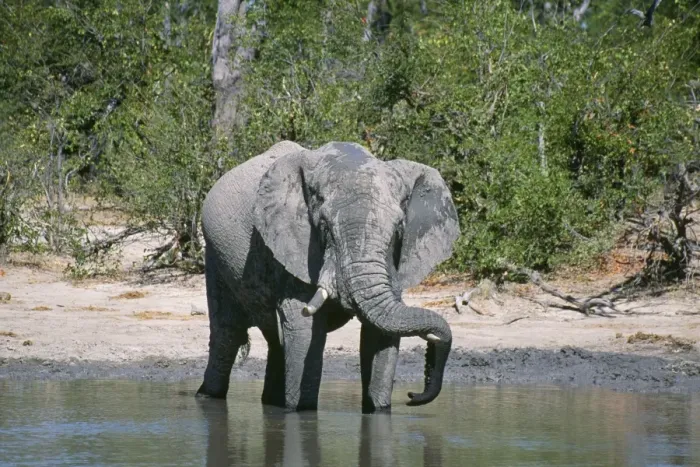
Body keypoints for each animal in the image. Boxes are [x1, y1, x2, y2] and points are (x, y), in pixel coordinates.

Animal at [196, 140, 460, 413]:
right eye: (324, 227)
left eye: (399, 229)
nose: (412, 395)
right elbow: (304, 328)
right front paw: (301, 412)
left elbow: (380, 334)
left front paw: (377, 410)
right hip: (215, 255)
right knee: (227, 332)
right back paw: (207, 396)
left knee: (273, 338)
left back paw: (271, 402)